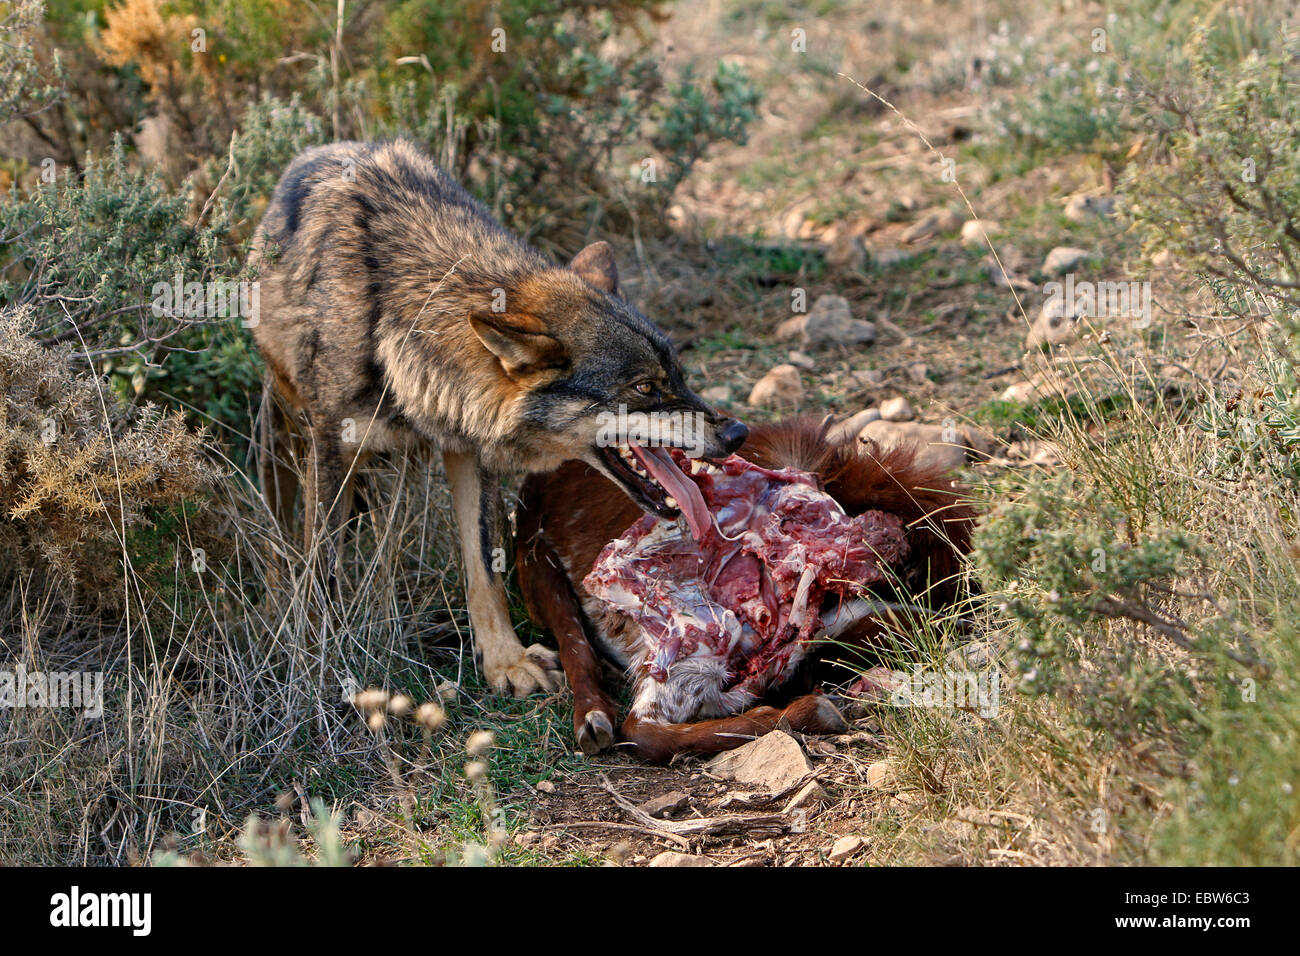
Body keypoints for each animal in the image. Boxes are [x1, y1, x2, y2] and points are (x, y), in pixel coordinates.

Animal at [249, 140, 748, 696]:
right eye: (644, 387)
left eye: (678, 375)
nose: (738, 432)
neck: (398, 333)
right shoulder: (333, 448)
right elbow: (324, 566)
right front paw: (317, 655)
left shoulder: (468, 451)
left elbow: (483, 567)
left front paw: (506, 662)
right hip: (283, 424)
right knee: (283, 516)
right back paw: (276, 593)